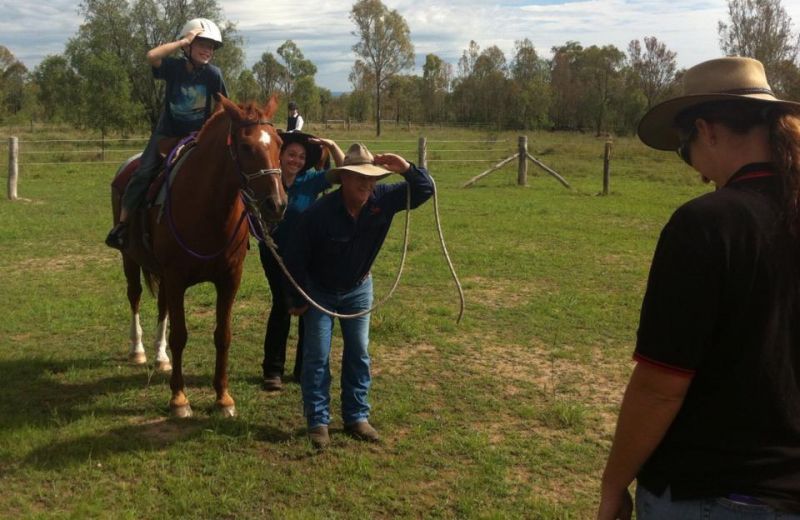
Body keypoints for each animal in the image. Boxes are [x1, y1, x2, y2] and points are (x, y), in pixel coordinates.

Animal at [110, 94, 287, 417]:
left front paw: (223, 398)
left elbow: (223, 335)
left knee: (162, 306)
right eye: (245, 146)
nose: (277, 204)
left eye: (280, 144)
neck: (207, 207)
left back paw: (160, 357)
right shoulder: (177, 278)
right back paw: (138, 350)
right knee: (135, 296)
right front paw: (179, 399)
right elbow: (180, 335)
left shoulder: (229, 279)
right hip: (130, 259)